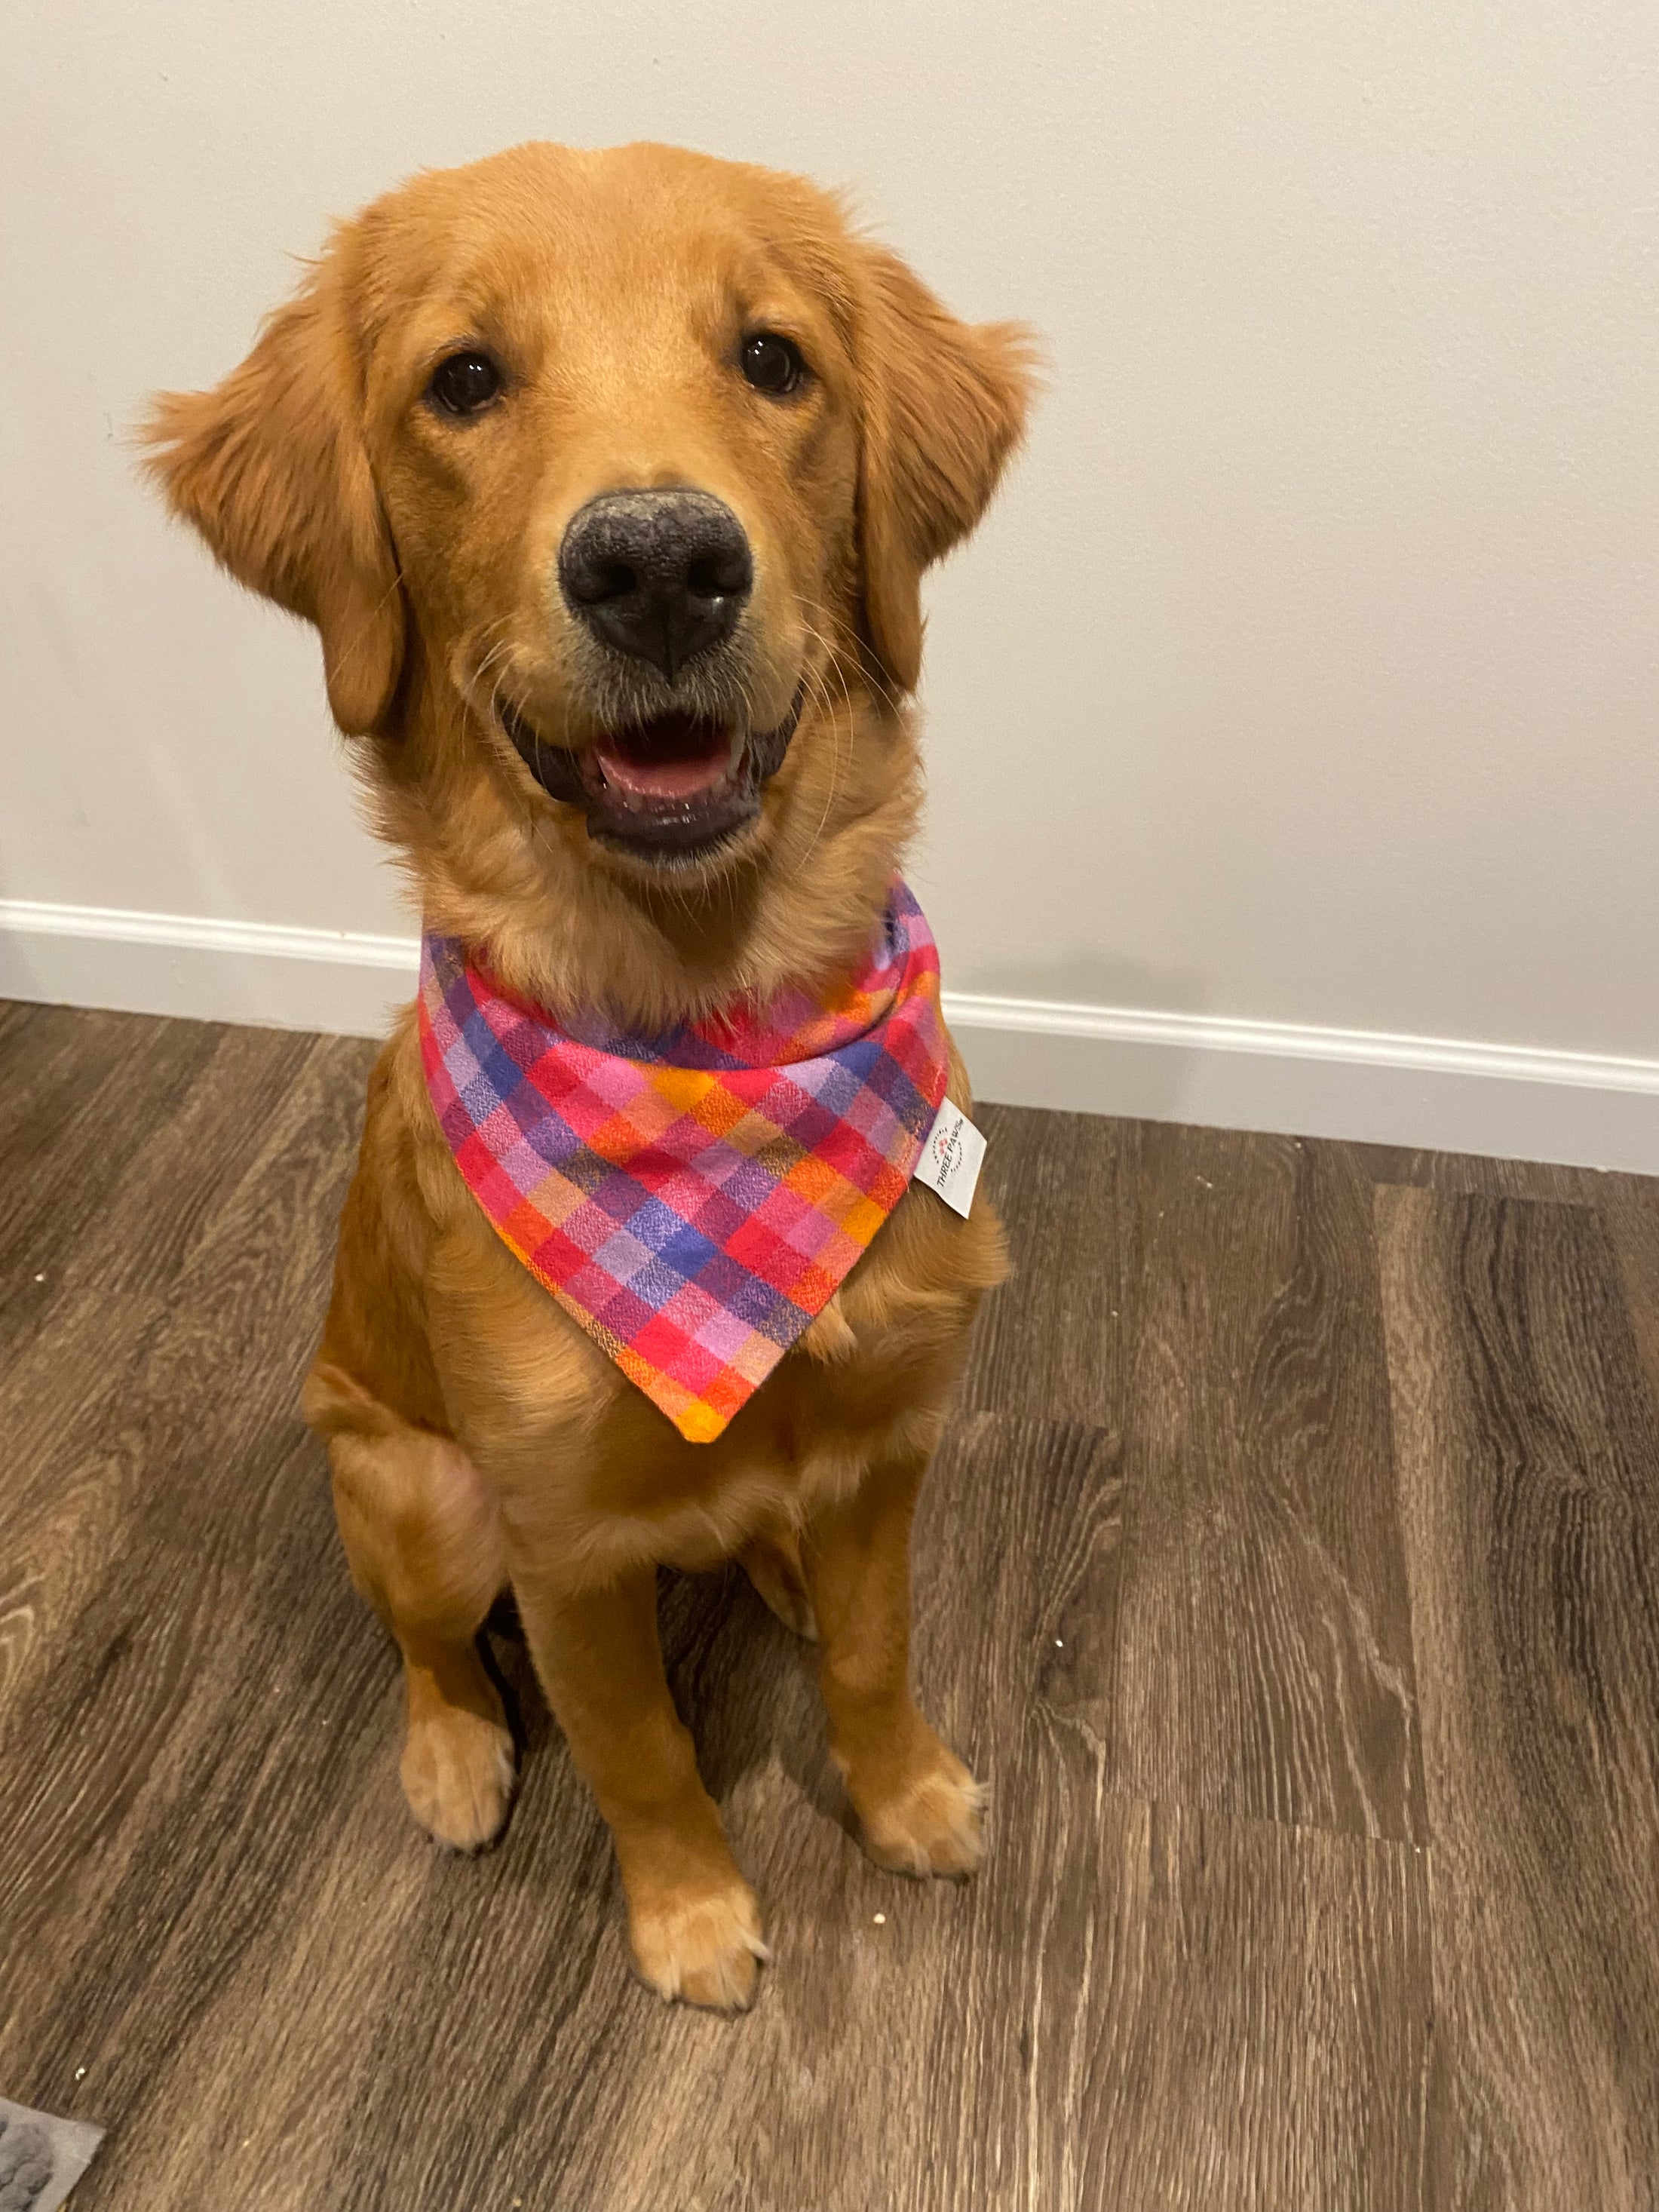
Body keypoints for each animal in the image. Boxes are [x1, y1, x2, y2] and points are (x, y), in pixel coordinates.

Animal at [152, 133, 1039, 2008]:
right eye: (462, 381)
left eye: (771, 357)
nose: (657, 565)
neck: (703, 1023)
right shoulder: (554, 1533)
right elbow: (638, 1749)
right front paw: (691, 1917)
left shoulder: (888, 1435)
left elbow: (875, 1649)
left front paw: (907, 1792)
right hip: (410, 1488)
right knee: (423, 1647)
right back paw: (451, 1751)